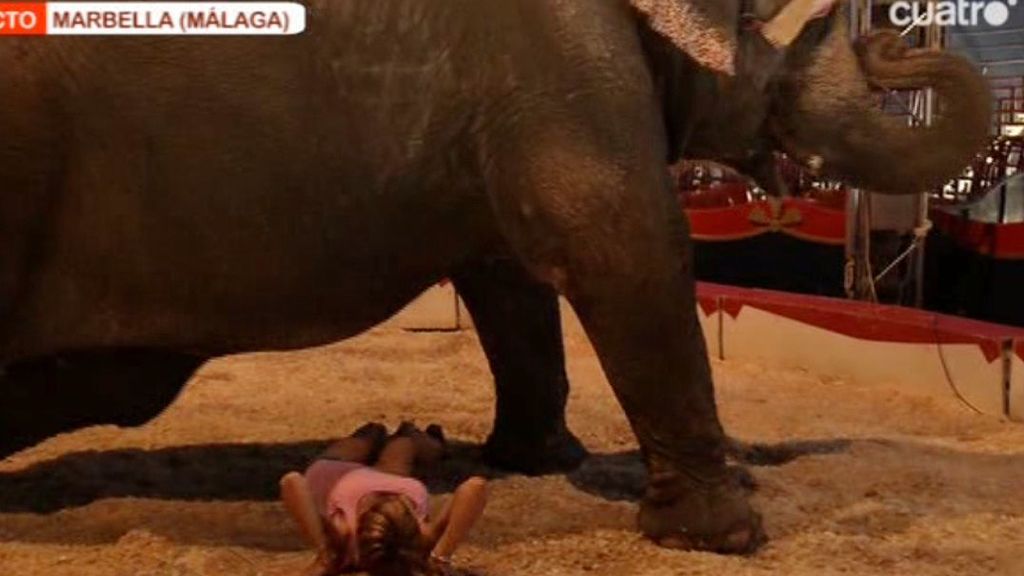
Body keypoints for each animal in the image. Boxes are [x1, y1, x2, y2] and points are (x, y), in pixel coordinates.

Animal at [0, 0, 989, 554]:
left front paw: (537, 461)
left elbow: (511, 276)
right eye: (796, 30)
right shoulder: (569, 74)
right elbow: (622, 244)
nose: (899, 38)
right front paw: (727, 534)